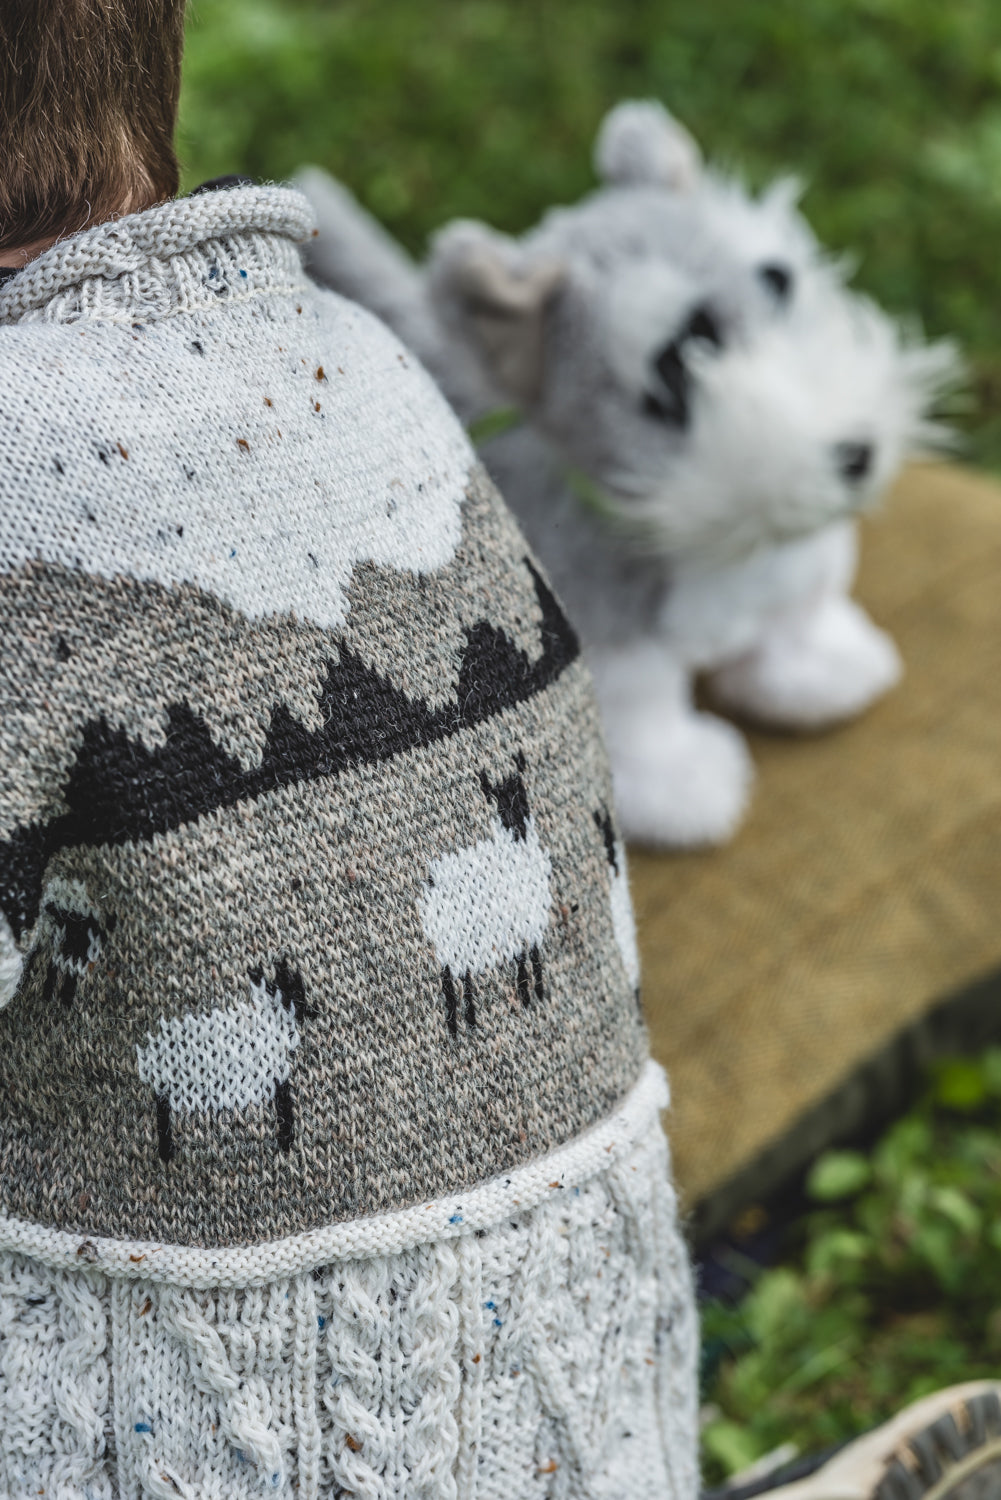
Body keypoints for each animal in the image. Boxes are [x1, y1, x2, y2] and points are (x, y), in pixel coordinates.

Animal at [420, 752, 553, 1036]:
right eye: (498, 805)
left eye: (521, 792)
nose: (518, 827)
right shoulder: (516, 930)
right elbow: (522, 965)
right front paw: (528, 995)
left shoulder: (531, 927)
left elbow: (533, 960)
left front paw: (535, 992)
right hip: (452, 944)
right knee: (452, 983)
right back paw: (462, 1022)